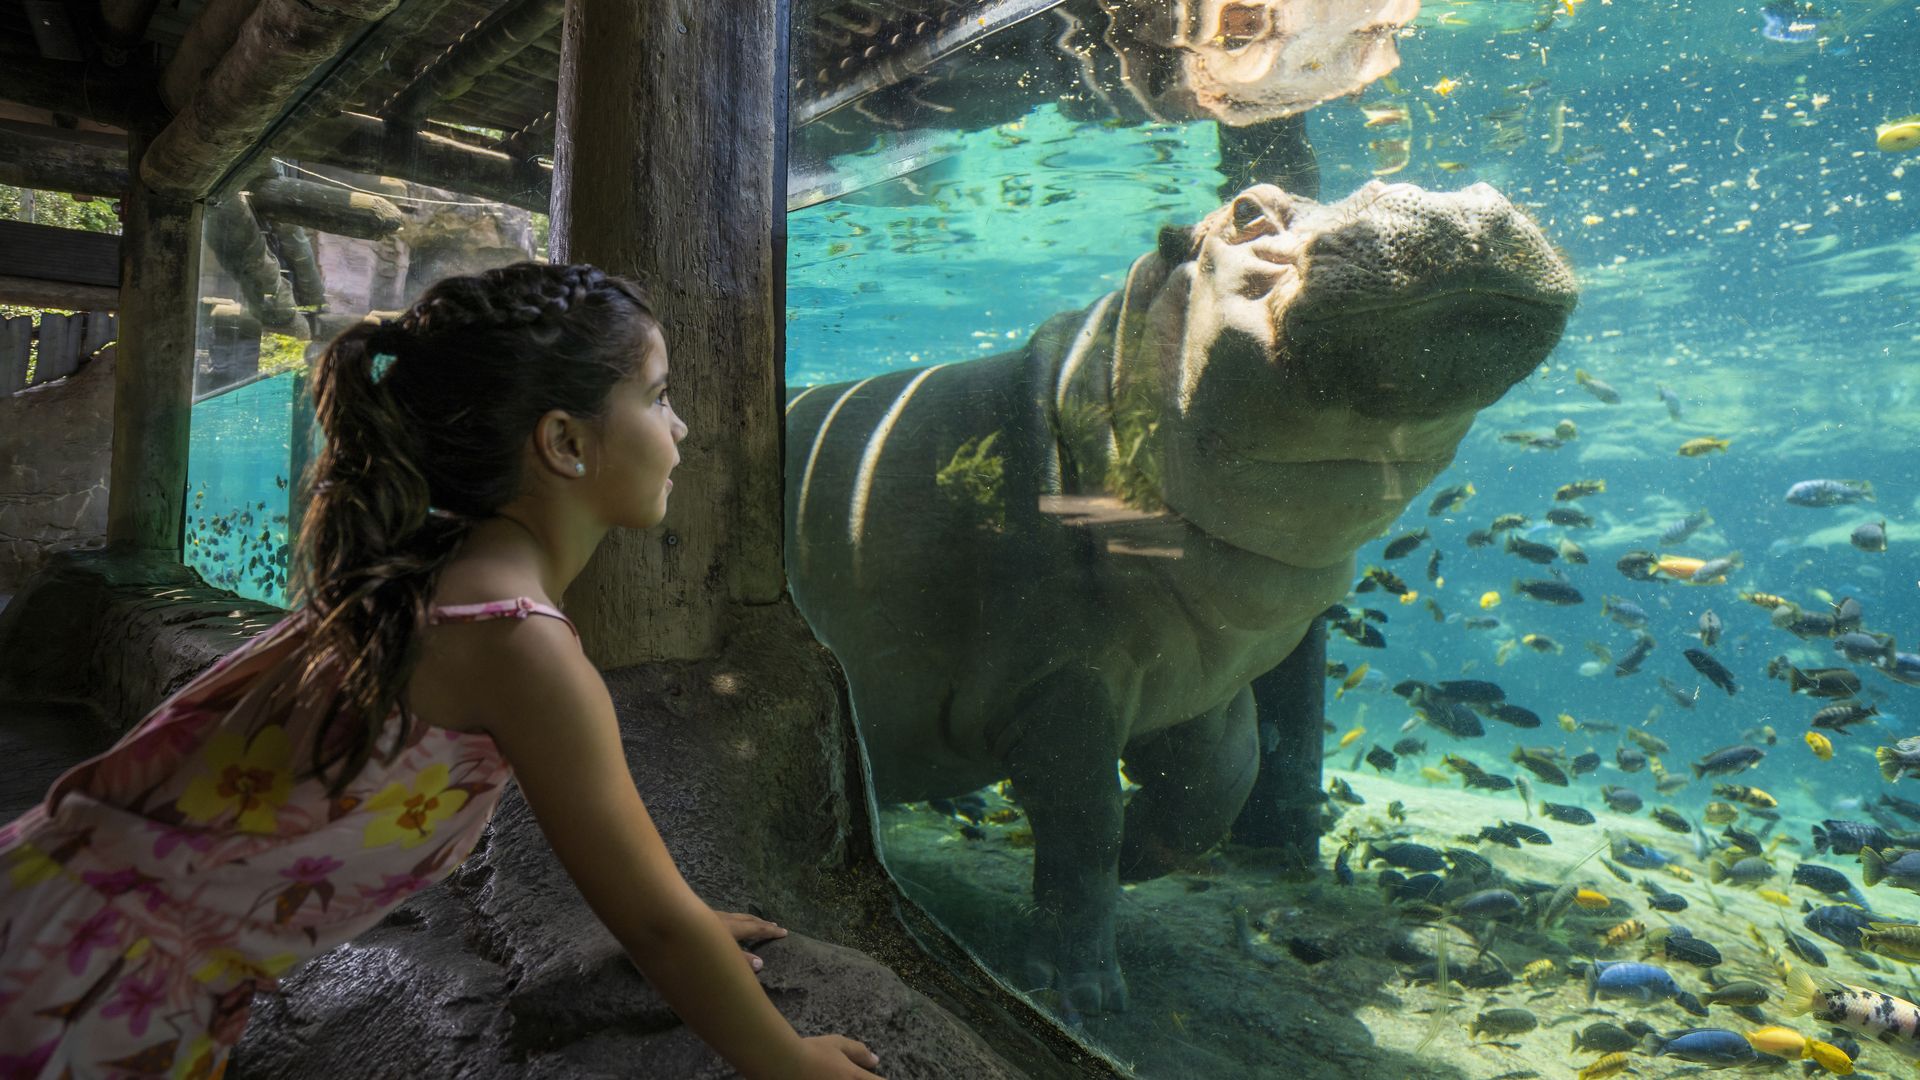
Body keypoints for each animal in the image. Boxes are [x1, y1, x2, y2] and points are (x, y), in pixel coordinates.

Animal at [783, 179, 1577, 1015]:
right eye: (1248, 211)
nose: (1461, 203)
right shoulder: (1059, 682)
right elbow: (1085, 822)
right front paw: (1081, 994)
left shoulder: (1202, 681)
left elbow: (1221, 783)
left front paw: (1139, 854)